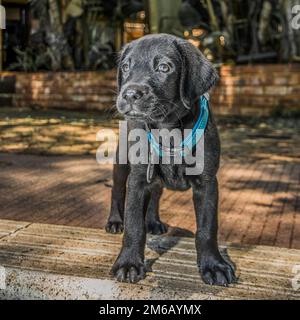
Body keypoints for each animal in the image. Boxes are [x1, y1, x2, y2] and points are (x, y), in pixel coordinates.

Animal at [106, 33, 236, 286]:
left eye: (164, 67)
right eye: (125, 67)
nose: (129, 94)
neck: (168, 130)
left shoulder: (207, 182)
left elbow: (207, 228)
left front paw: (213, 265)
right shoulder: (138, 179)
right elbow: (134, 225)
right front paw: (128, 263)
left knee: (155, 193)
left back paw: (153, 221)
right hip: (122, 162)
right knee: (117, 190)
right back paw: (115, 221)